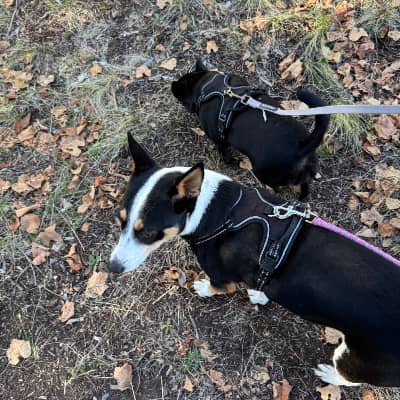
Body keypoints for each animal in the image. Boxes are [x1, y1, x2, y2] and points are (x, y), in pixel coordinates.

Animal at [109, 133, 400, 388]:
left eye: (148, 233)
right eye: (120, 220)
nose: (112, 268)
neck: (215, 210)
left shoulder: (222, 278)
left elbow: (216, 287)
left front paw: (205, 288)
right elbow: (259, 284)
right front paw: (259, 294)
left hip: (354, 359)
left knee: (351, 377)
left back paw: (330, 374)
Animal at [171, 60, 330, 199]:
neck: (208, 85)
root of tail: (302, 146)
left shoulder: (220, 142)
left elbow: (225, 154)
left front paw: (230, 163)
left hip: (264, 173)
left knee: (277, 187)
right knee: (305, 185)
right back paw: (302, 198)